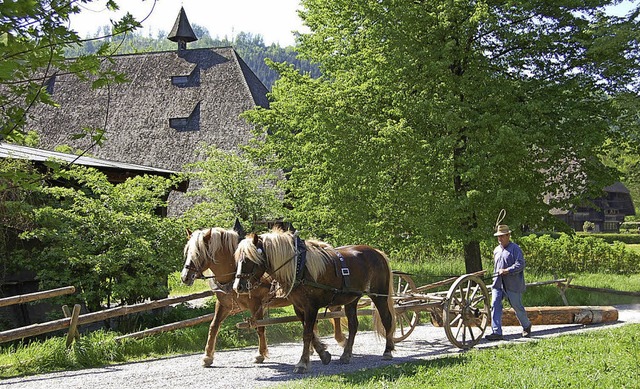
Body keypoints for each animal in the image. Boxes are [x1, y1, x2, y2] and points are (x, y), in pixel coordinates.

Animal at [180, 226, 344, 366]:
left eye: (198, 253)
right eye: (187, 252)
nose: (185, 277)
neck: (234, 274)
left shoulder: (256, 304)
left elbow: (259, 327)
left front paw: (260, 354)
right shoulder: (224, 305)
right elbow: (213, 326)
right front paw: (207, 356)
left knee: (336, 313)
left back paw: (340, 340)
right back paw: (313, 348)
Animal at [232, 229, 398, 374]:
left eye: (248, 259)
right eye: (237, 260)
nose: (237, 287)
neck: (299, 267)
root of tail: (376, 252)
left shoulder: (311, 307)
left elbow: (306, 334)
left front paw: (302, 363)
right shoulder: (299, 308)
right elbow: (310, 332)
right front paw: (324, 354)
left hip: (379, 295)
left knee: (387, 319)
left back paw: (388, 350)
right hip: (352, 299)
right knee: (353, 325)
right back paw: (346, 355)